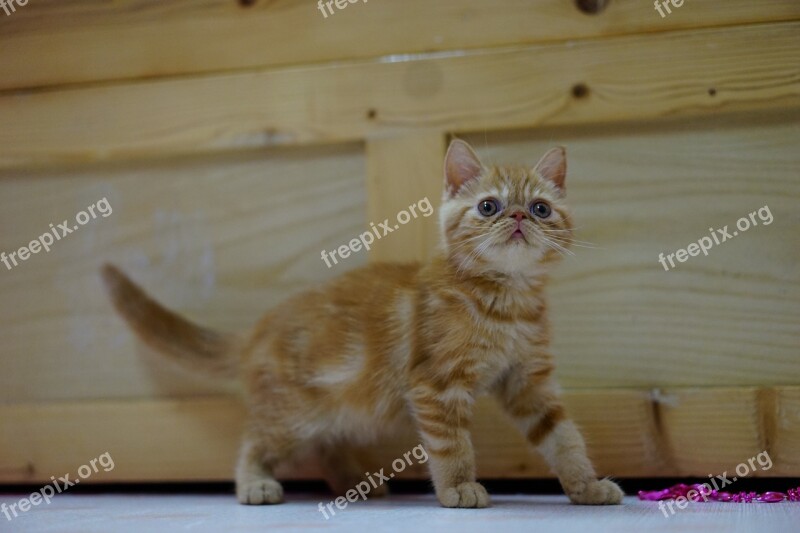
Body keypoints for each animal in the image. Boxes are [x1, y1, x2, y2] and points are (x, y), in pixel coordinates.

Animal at [101, 138, 624, 508]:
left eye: (540, 208)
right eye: (488, 206)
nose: (517, 216)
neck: (506, 301)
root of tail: (258, 329)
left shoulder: (529, 381)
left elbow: (564, 436)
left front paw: (586, 485)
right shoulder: (435, 386)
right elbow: (452, 444)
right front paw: (459, 488)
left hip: (339, 408)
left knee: (326, 447)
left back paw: (355, 482)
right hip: (293, 414)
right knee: (254, 439)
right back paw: (255, 483)